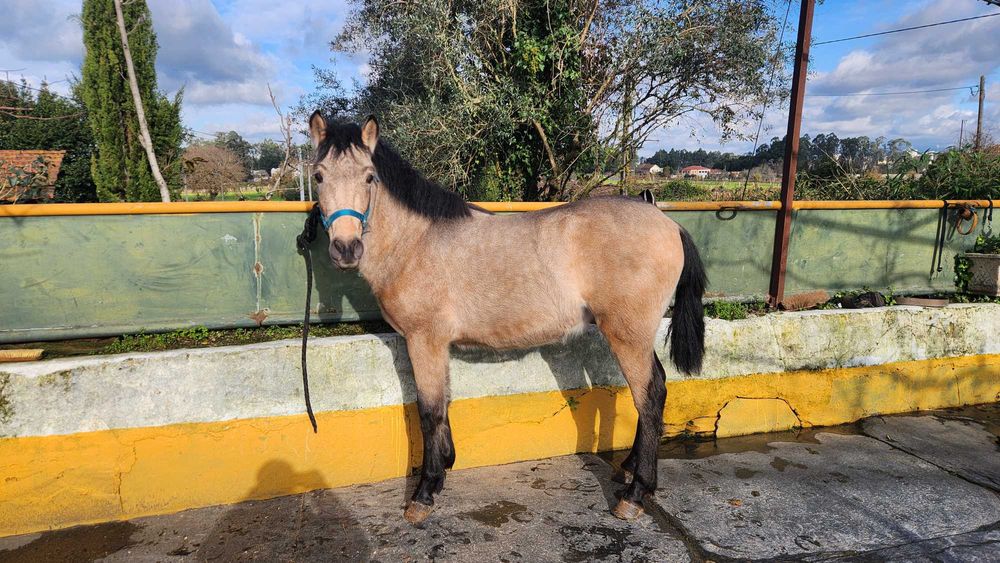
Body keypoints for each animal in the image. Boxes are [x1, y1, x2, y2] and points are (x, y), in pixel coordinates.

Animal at [306, 112, 707, 524]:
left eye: (369, 177)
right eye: (318, 176)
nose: (346, 248)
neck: (417, 241)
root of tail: (667, 223)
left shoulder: (424, 339)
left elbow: (429, 410)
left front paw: (425, 491)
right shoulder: (435, 344)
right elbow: (444, 401)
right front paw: (445, 465)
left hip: (628, 334)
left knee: (650, 394)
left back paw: (636, 492)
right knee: (652, 389)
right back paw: (628, 469)